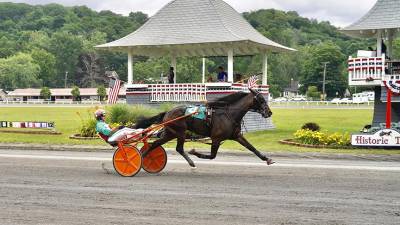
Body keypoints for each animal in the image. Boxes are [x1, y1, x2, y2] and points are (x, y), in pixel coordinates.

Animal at [135, 89, 276, 168]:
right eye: (261, 99)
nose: (269, 112)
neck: (229, 114)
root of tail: (167, 112)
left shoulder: (237, 136)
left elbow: (252, 148)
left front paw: (267, 159)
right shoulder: (216, 138)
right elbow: (212, 156)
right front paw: (194, 152)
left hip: (171, 133)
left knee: (155, 145)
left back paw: (143, 157)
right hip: (179, 132)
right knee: (177, 148)